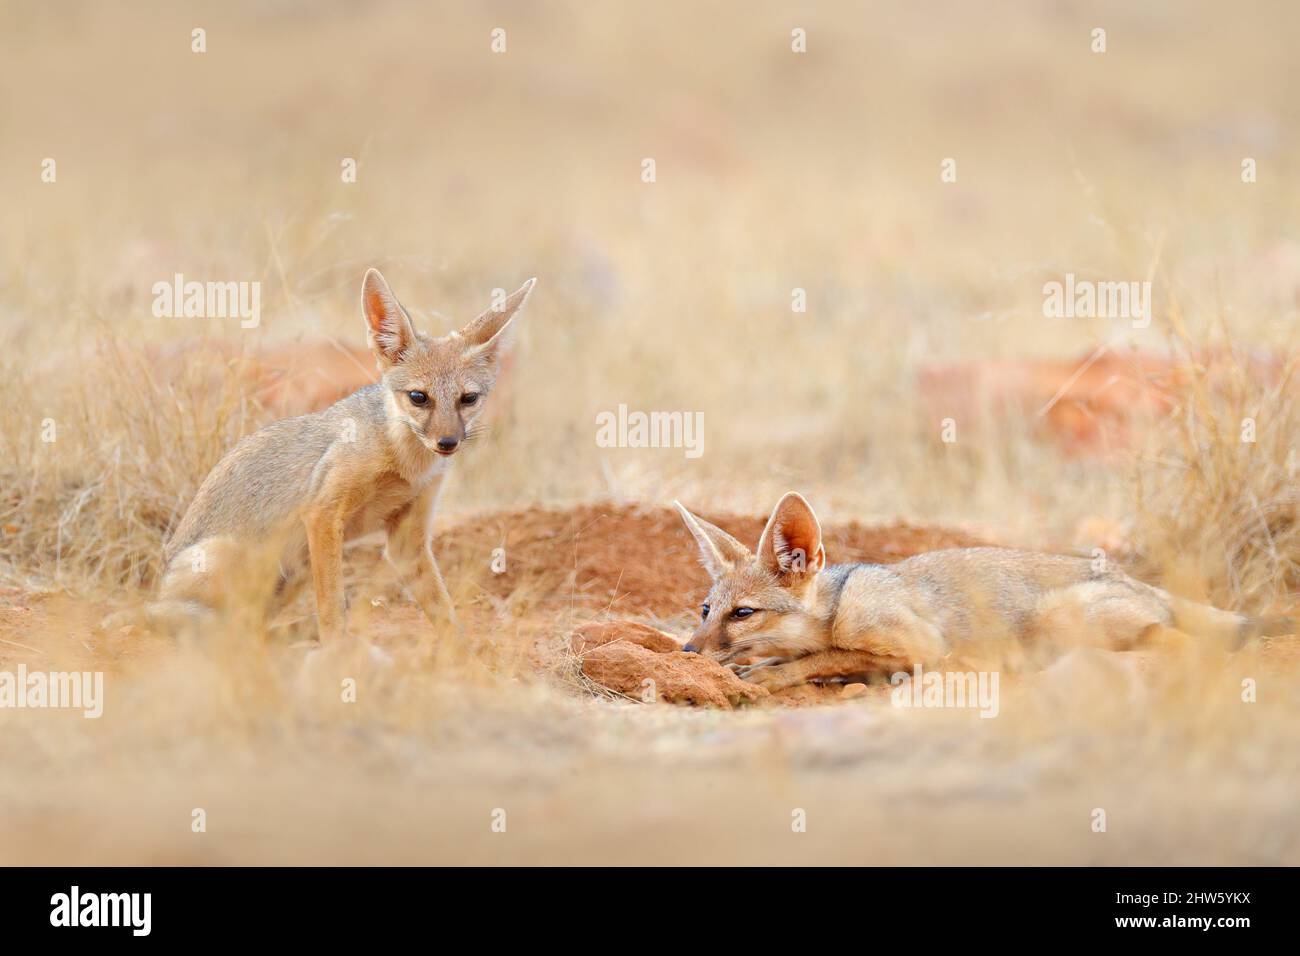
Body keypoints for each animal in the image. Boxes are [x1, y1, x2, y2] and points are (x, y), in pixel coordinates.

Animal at [142, 269, 536, 642]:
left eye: (468, 399)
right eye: (419, 397)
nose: (448, 442)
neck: (405, 461)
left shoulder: (407, 542)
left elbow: (445, 610)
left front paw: (464, 654)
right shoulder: (322, 513)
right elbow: (332, 606)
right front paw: (337, 651)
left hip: (294, 569)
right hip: (238, 558)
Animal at [674, 492, 1295, 691]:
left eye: (743, 612)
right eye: (705, 610)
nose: (685, 652)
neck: (839, 604)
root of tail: (1132, 578)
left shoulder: (918, 644)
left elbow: (826, 656)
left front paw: (769, 673)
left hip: (1059, 618)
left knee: (1188, 643)